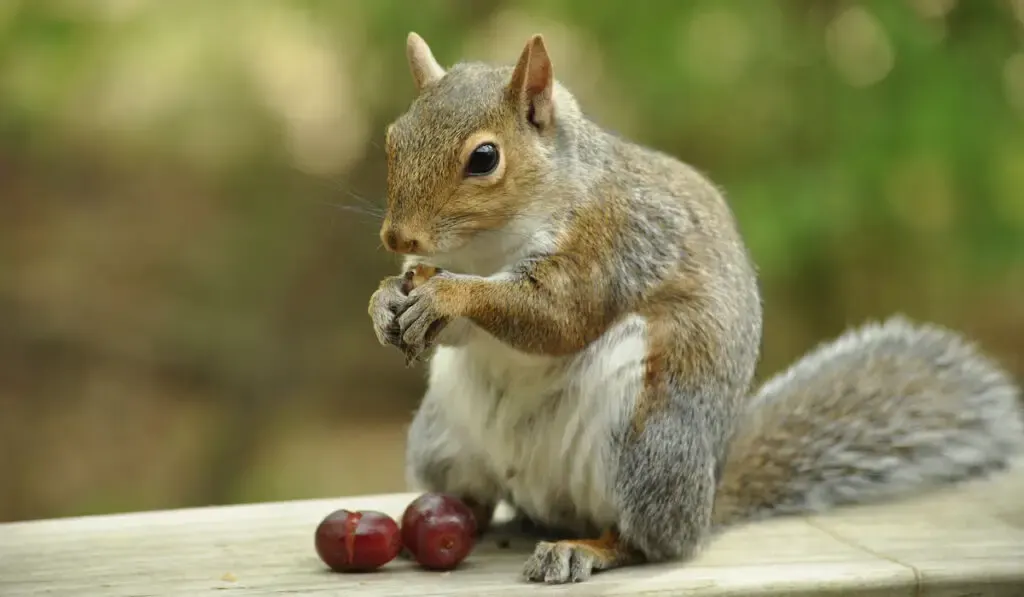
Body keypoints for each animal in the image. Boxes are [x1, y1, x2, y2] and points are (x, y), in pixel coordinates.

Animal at [368, 32, 1024, 585]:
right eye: (393, 140)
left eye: (484, 158)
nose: (397, 238)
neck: (483, 248)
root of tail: (706, 502)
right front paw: (385, 300)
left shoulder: (610, 244)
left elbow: (555, 318)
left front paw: (449, 293)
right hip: (440, 439)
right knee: (479, 498)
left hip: (649, 446)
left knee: (648, 541)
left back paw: (585, 548)